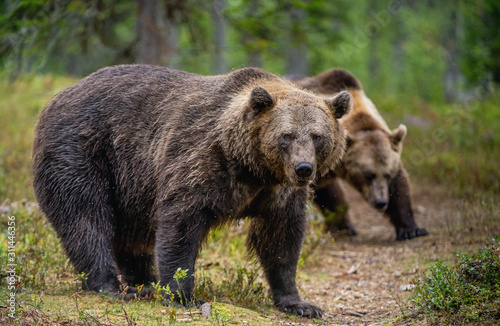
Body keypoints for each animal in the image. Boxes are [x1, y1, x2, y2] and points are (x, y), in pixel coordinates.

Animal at [33, 64, 352, 318]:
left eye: (317, 136)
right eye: (286, 135)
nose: (303, 168)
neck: (252, 167)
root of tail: (57, 97)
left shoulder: (279, 192)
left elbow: (282, 239)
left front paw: (300, 303)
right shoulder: (199, 161)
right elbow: (181, 224)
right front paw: (183, 295)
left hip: (131, 185)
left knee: (131, 235)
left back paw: (144, 282)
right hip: (85, 151)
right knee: (87, 218)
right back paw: (113, 286)